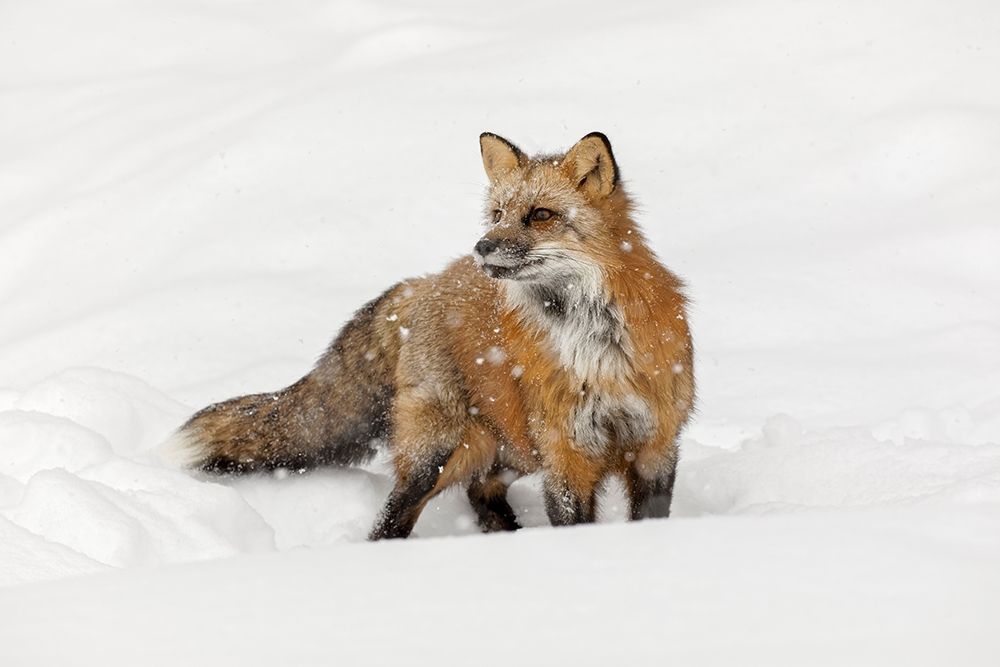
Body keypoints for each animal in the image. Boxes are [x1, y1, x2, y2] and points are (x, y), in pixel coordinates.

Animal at [173, 131, 695, 539]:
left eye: (541, 215)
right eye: (498, 214)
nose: (482, 246)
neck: (593, 348)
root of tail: (425, 281)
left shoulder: (656, 445)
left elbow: (652, 516)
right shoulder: (566, 455)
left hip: (509, 445)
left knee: (482, 491)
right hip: (440, 453)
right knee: (395, 517)